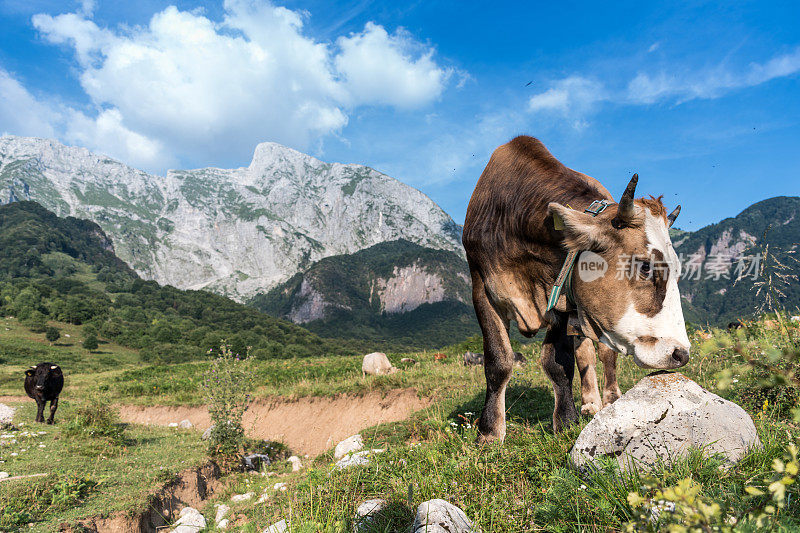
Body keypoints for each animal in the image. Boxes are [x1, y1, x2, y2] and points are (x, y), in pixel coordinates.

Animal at [462, 135, 688, 438]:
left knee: (603, 354)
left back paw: (608, 399)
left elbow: (557, 362)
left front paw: (565, 421)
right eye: (645, 266)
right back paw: (589, 403)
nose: (681, 353)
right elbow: (498, 361)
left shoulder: (560, 297)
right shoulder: (482, 289)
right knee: (585, 354)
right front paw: (489, 431)